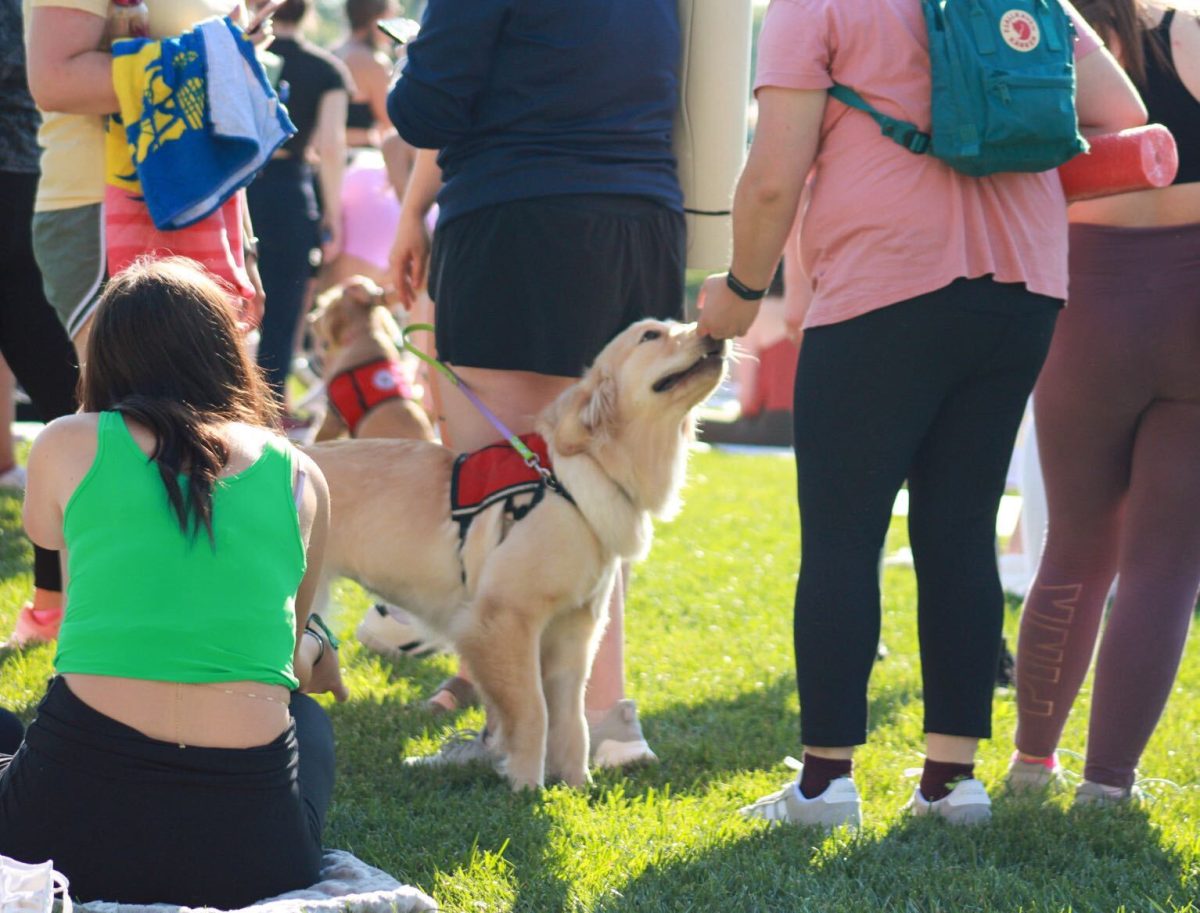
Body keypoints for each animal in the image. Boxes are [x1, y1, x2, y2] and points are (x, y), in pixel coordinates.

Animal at [304, 321, 724, 791]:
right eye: (651, 335)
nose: (715, 333)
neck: (576, 480)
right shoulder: (504, 620)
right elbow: (533, 711)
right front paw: (527, 785)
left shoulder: (575, 631)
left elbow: (572, 720)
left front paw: (576, 785)